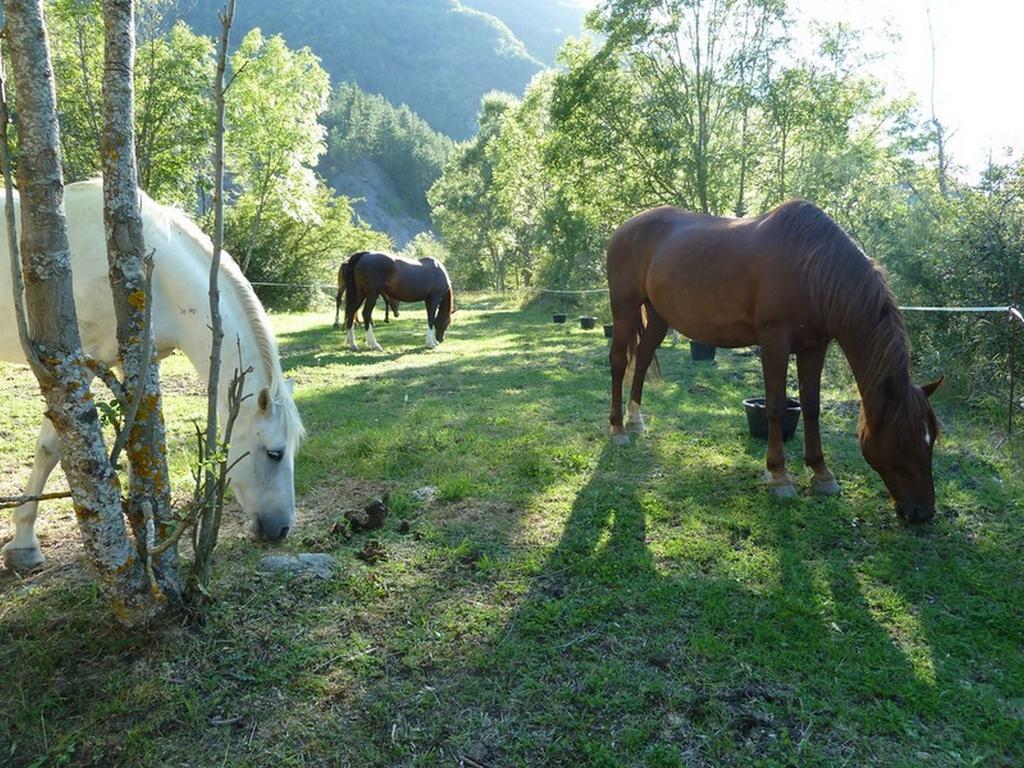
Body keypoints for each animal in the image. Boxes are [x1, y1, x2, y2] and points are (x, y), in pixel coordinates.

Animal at [0, 180, 303, 573]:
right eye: (274, 453)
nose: (282, 529)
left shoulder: (135, 360)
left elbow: (138, 437)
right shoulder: (73, 365)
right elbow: (50, 448)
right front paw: (23, 544)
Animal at [606, 201, 942, 524]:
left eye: (932, 438)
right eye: (903, 439)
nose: (923, 512)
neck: (812, 266)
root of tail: (624, 228)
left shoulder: (814, 347)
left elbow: (811, 406)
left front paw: (821, 474)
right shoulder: (774, 341)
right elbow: (777, 406)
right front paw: (779, 476)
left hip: (658, 316)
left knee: (643, 358)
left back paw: (635, 419)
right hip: (624, 308)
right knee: (619, 362)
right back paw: (618, 429)